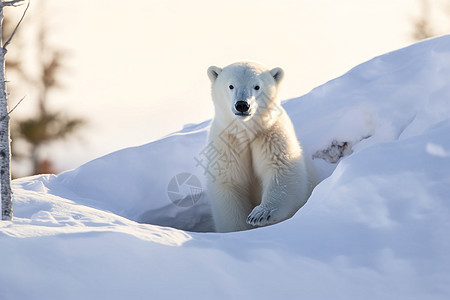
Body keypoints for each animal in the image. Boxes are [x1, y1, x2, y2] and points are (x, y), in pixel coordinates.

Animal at [205, 62, 314, 233]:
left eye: (257, 86)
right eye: (231, 85)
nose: (242, 105)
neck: (247, 130)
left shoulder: (271, 135)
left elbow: (282, 171)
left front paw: (260, 214)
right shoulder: (228, 142)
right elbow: (228, 183)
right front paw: (238, 230)